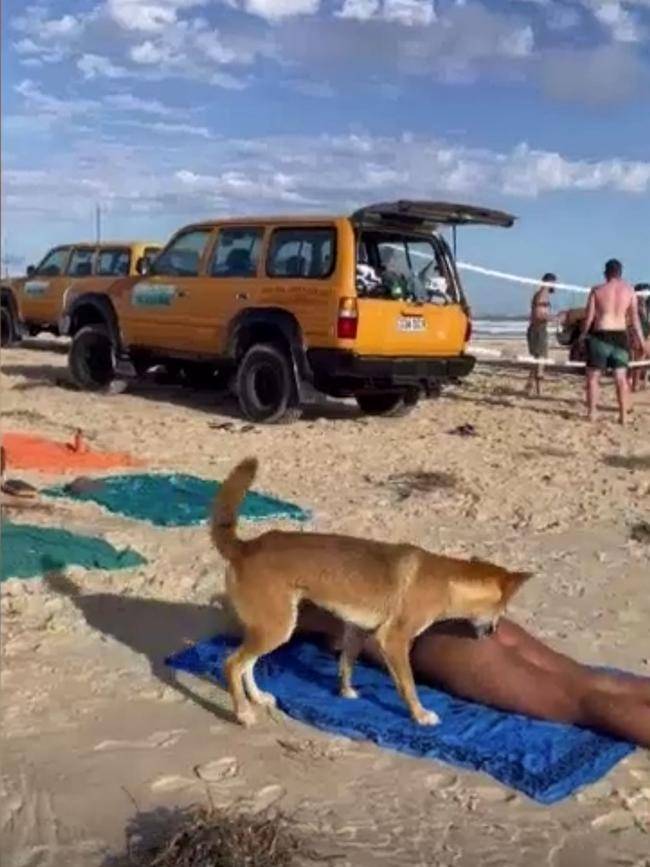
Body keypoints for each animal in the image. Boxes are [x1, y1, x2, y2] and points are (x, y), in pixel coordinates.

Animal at [210, 458, 528, 728]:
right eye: (502, 611)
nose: (493, 632)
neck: (447, 581)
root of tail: (245, 547)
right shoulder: (394, 640)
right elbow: (407, 684)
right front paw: (419, 715)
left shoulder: (357, 628)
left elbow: (346, 663)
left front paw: (346, 691)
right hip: (277, 628)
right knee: (231, 663)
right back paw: (243, 713)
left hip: (273, 628)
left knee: (246, 664)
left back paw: (257, 697)